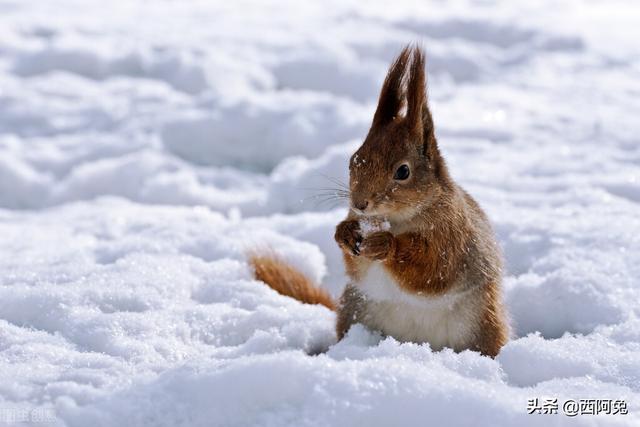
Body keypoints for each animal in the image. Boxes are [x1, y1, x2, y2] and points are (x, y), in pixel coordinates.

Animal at [250, 44, 510, 358]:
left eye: (403, 171)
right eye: (354, 159)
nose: (360, 203)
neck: (396, 219)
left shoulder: (453, 237)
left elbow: (432, 268)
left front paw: (387, 245)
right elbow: (355, 266)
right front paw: (345, 233)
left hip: (482, 325)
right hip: (355, 310)